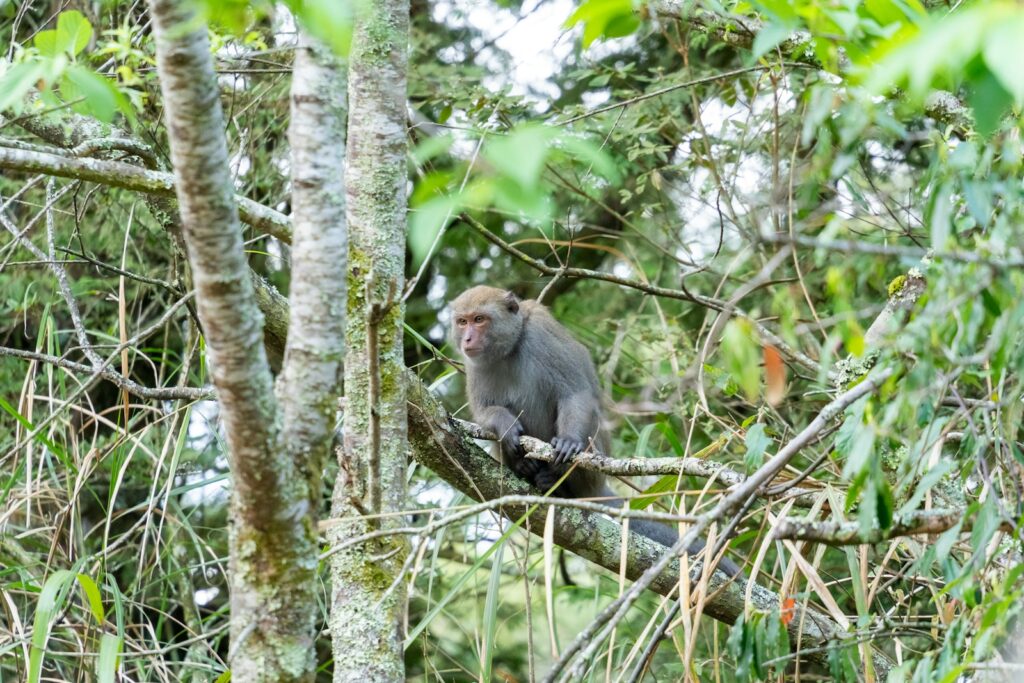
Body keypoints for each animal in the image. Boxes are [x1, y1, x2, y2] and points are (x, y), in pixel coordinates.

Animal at [452, 286, 741, 581]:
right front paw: (505, 426)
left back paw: (557, 481)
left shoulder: (541, 336)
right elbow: (484, 413)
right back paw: (526, 468)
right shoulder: (474, 364)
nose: (467, 338)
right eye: (462, 321)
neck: (510, 348)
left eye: (479, 319)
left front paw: (569, 441)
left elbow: (575, 393)